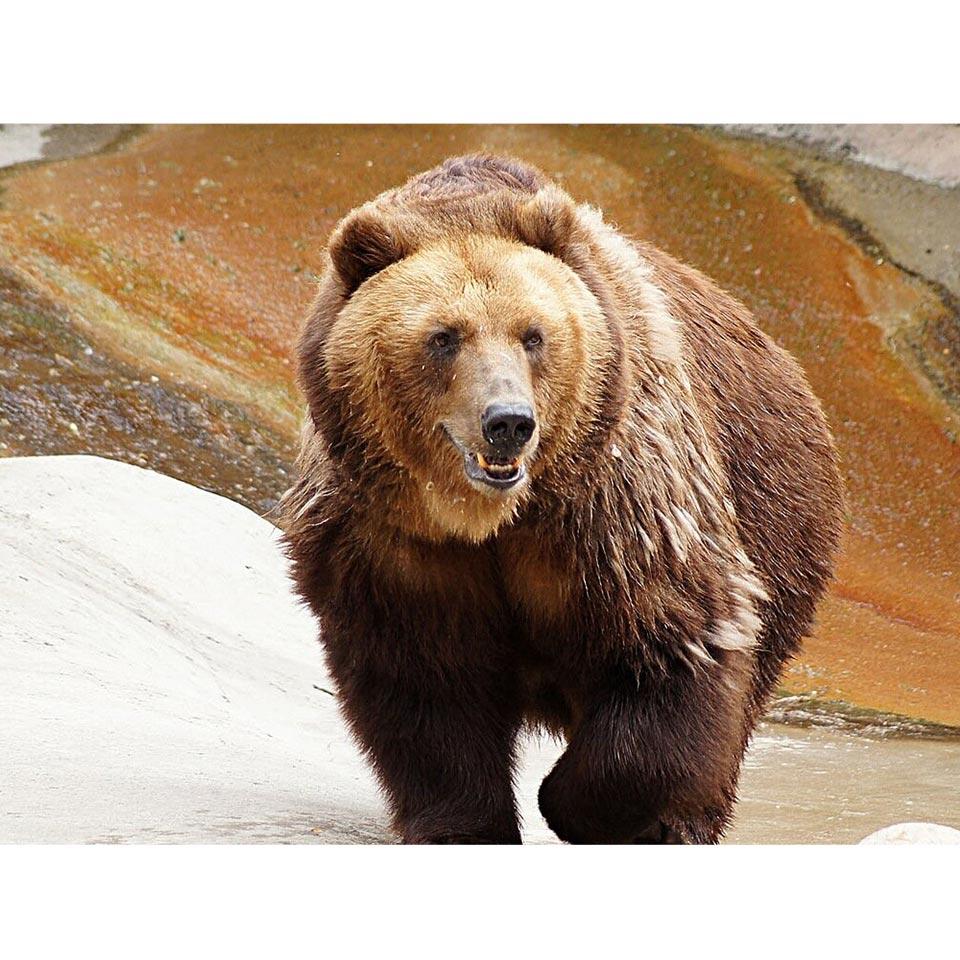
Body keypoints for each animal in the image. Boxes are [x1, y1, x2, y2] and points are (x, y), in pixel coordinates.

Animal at [281, 154, 843, 844]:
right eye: (444, 336)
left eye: (533, 334)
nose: (508, 422)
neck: (490, 519)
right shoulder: (389, 538)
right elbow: (424, 682)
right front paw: (463, 825)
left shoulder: (615, 513)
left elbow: (671, 648)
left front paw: (577, 805)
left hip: (780, 523)